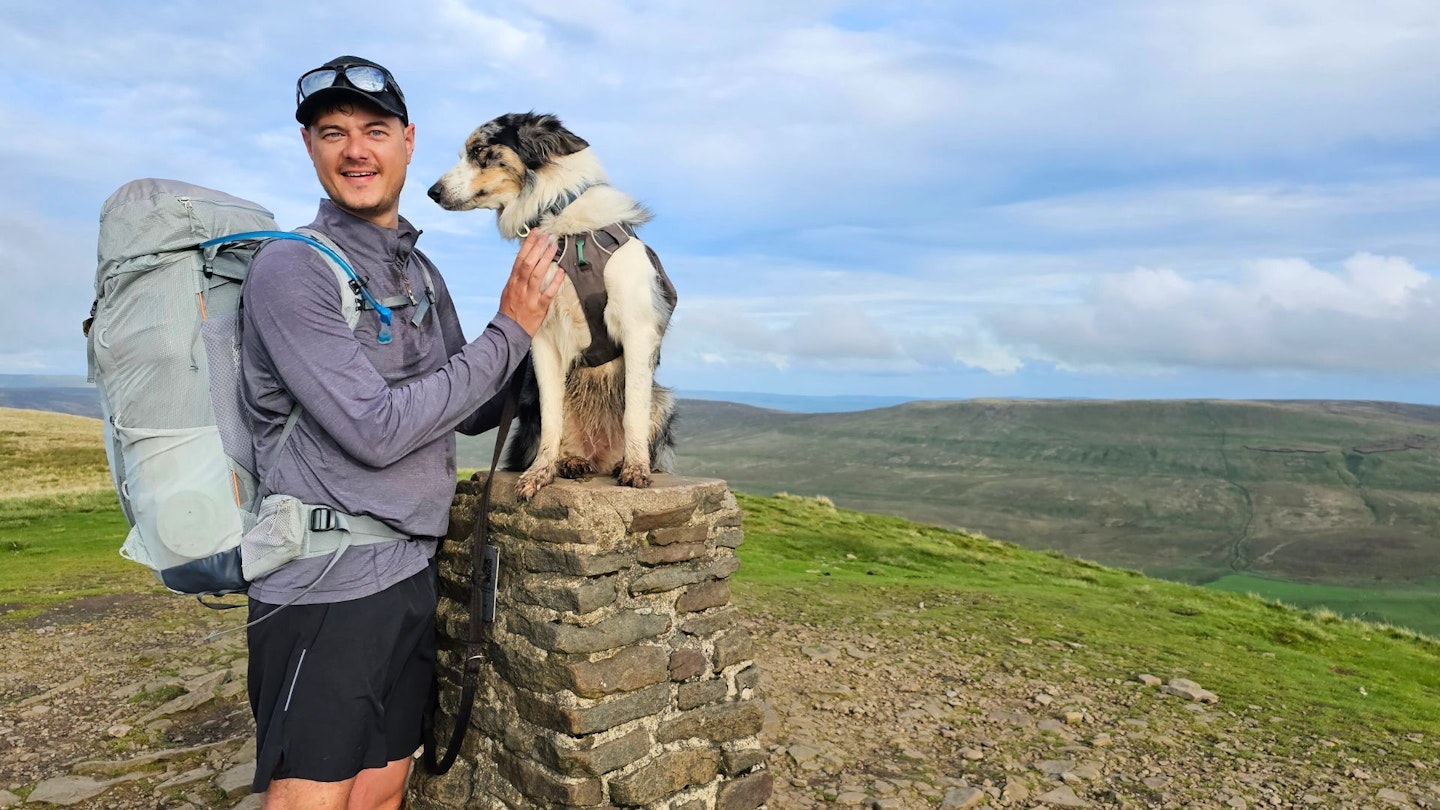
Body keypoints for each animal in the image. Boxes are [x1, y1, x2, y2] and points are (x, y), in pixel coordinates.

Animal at [426, 109, 679, 495]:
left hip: (663, 400)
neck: (560, 223)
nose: (432, 192)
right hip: (530, 399)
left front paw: (636, 468)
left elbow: (633, 410)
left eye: (479, 149)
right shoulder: (543, 339)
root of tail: (598, 456)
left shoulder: (638, 328)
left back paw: (620, 462)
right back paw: (571, 462)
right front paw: (540, 473)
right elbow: (551, 420)